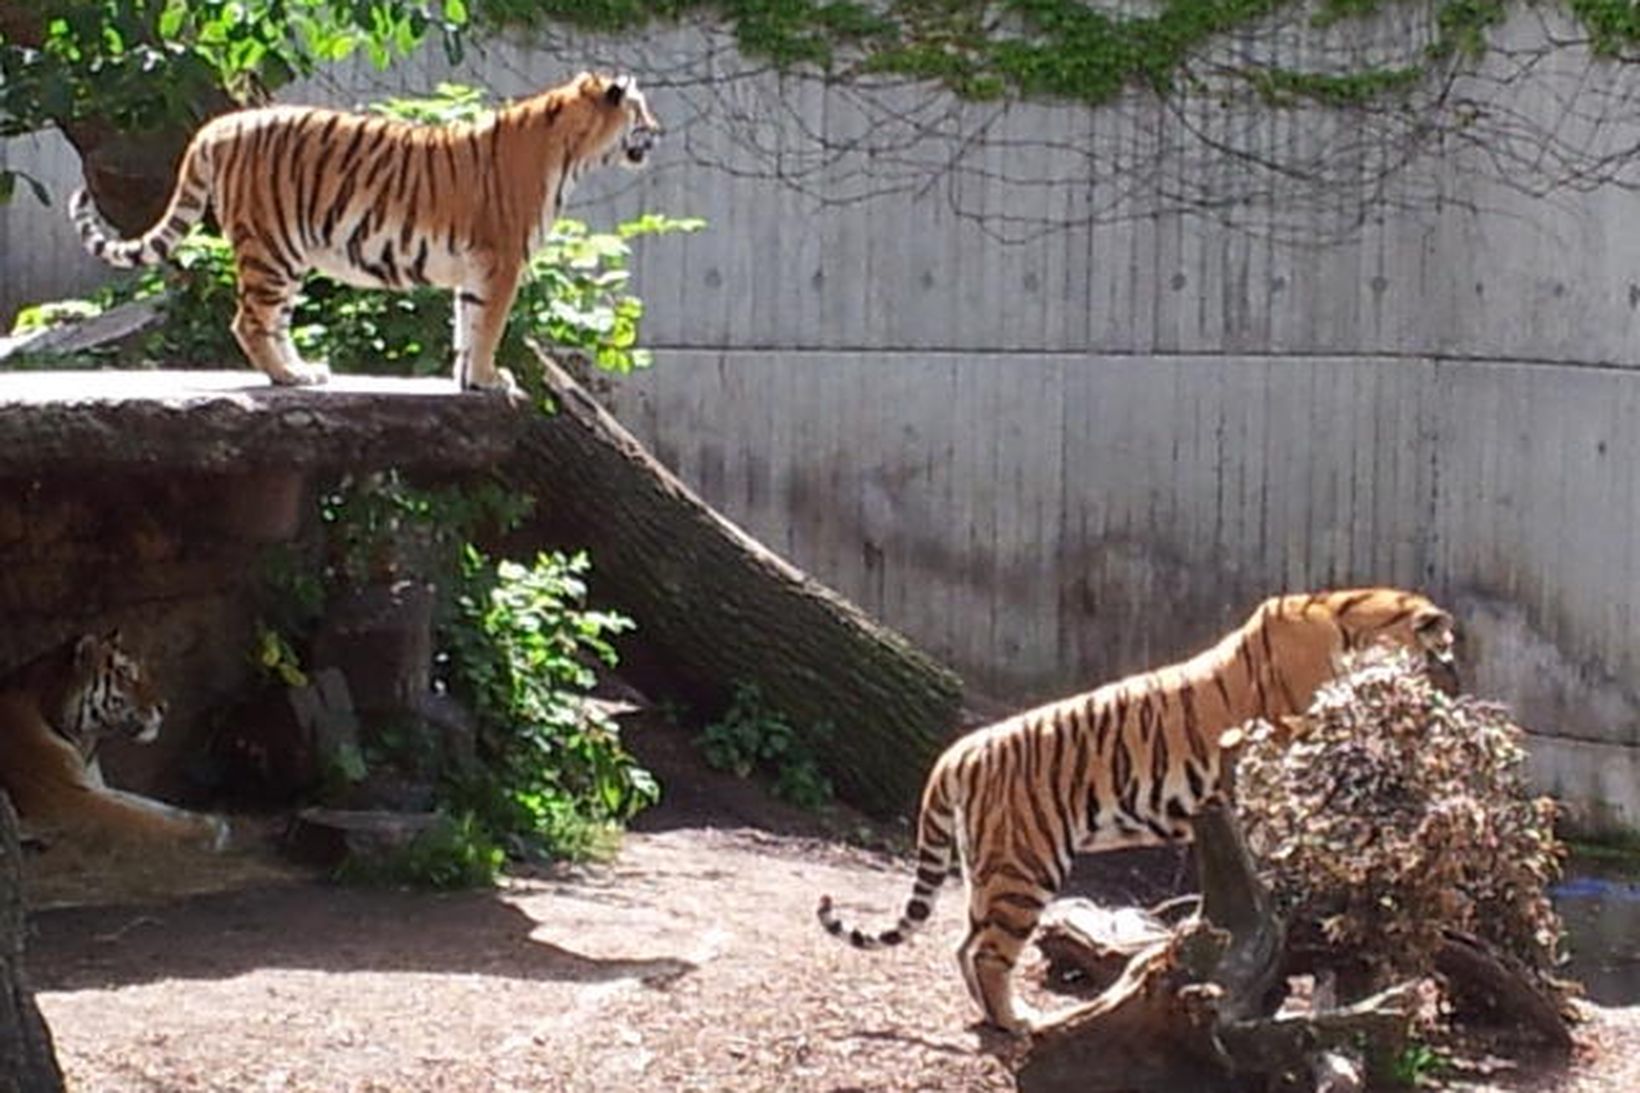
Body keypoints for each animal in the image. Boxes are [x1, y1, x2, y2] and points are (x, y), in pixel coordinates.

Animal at [0, 630, 231, 853]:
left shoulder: (95, 785)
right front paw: (211, 832)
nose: (165, 707)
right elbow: (140, 819)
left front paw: (205, 819)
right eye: (125, 672)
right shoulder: (66, 798)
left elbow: (149, 805)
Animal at [70, 70, 659, 392]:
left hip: (288, 254)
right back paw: (287, 377)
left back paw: (303, 372)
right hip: (270, 247)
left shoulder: (477, 267)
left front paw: (470, 379)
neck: (574, 152)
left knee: (275, 320)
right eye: (641, 111)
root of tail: (221, 124)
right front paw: (490, 378)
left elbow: (468, 324)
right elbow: (489, 326)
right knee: (250, 320)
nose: (659, 130)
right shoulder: (503, 260)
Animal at [820, 587, 1462, 1030]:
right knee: (989, 954)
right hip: (1025, 864)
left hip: (990, 865)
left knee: (964, 944)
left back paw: (993, 1017)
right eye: (1449, 662)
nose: (1457, 697)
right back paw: (1019, 1021)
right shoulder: (1289, 750)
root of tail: (959, 751)